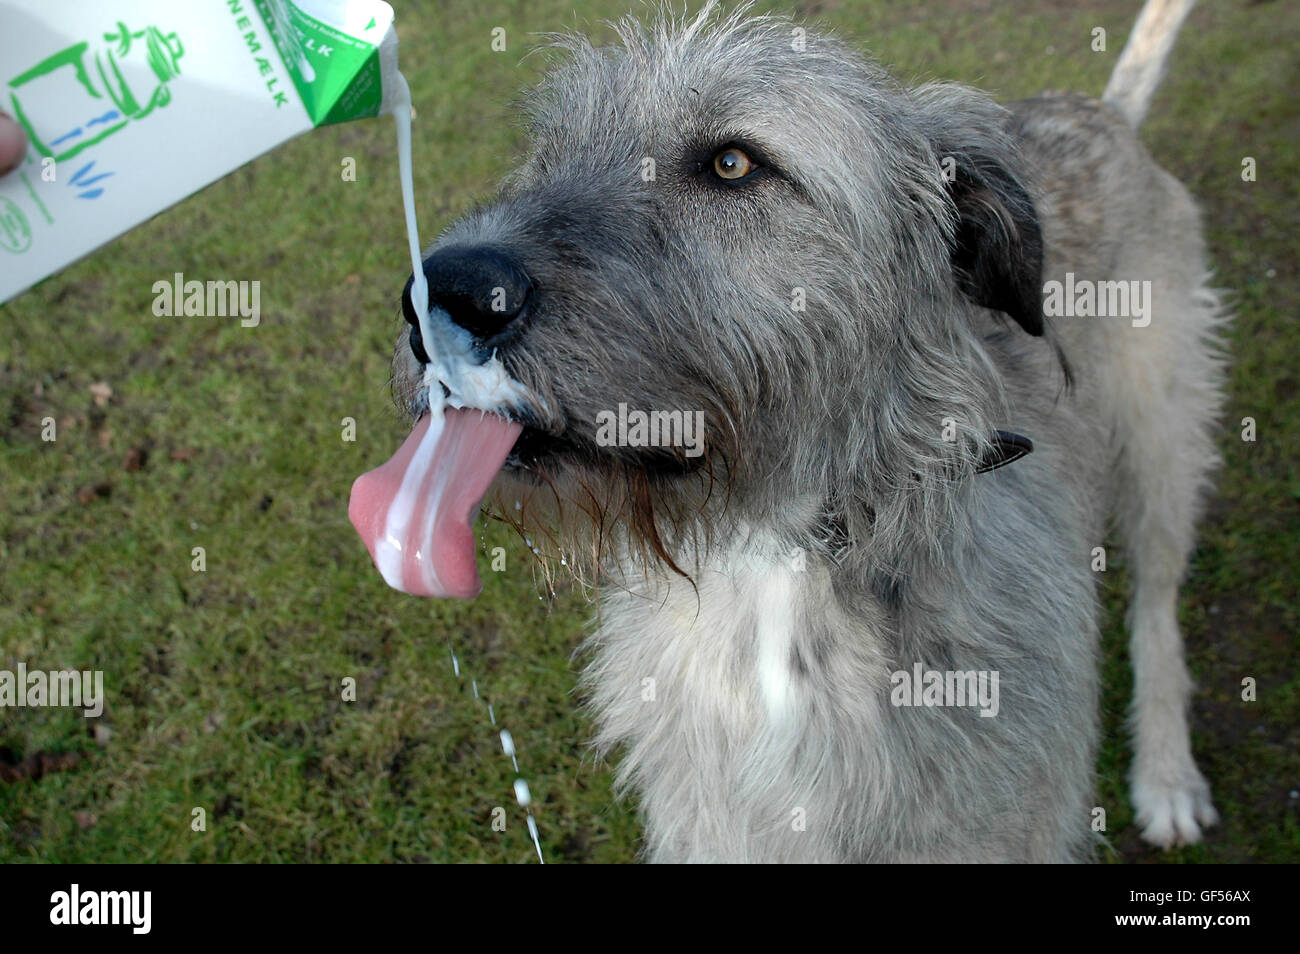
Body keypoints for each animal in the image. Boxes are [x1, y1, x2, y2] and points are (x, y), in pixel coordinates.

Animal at [351, 0, 1222, 868]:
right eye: (548, 155)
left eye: (734, 164)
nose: (444, 293)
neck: (774, 563)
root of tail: (1099, 111)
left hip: (1162, 440)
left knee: (1157, 601)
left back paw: (1167, 774)